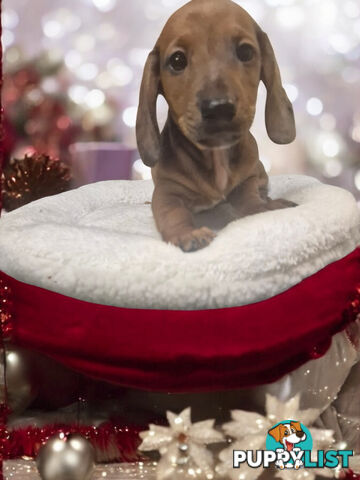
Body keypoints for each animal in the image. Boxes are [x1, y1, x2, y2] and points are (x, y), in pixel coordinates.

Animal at [136, 0, 296, 253]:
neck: (216, 155)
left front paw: (260, 208)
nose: (218, 107)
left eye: (245, 52)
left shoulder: (248, 179)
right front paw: (187, 233)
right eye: (177, 60)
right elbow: (173, 213)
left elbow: (249, 198)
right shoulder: (167, 192)